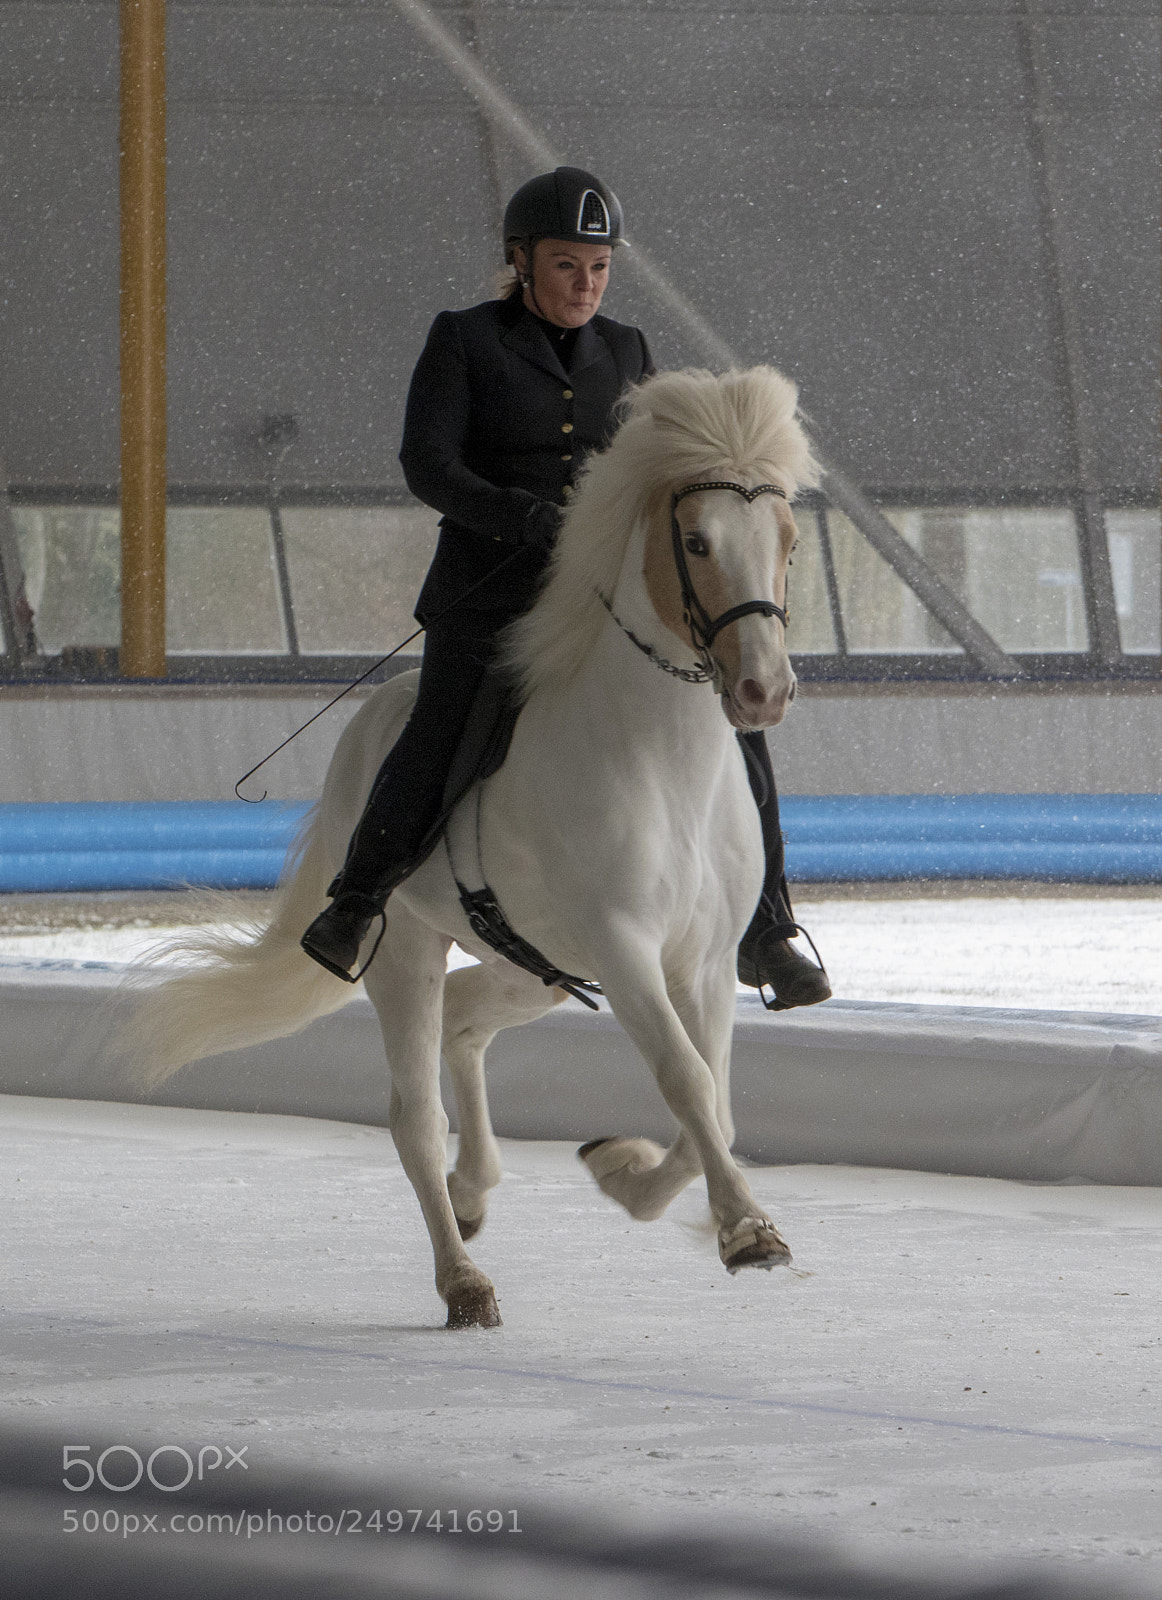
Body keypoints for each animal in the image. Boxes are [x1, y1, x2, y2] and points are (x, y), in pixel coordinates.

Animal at [121, 366, 820, 1329]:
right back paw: (463, 1279)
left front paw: (626, 1174)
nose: (763, 691)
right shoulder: (625, 948)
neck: (661, 756)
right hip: (404, 950)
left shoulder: (706, 961)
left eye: (786, 538)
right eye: (695, 540)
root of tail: (374, 723)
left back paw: (475, 1190)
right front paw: (747, 1231)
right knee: (415, 1111)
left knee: (463, 1022)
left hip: (533, 965)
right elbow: (683, 1079)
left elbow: (711, 1101)